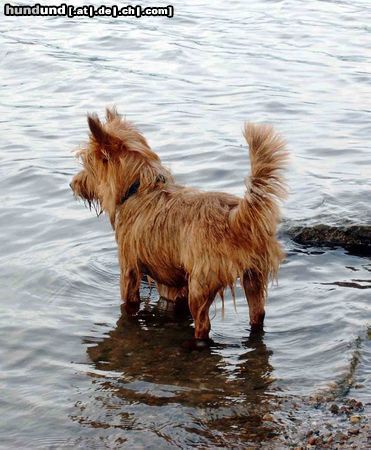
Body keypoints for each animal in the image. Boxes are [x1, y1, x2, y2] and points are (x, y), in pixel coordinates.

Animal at [71, 108, 290, 342]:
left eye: (88, 165)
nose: (72, 184)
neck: (139, 187)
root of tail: (234, 216)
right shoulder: (172, 283)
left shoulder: (129, 268)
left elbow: (129, 302)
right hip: (253, 278)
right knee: (258, 313)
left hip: (201, 285)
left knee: (203, 324)